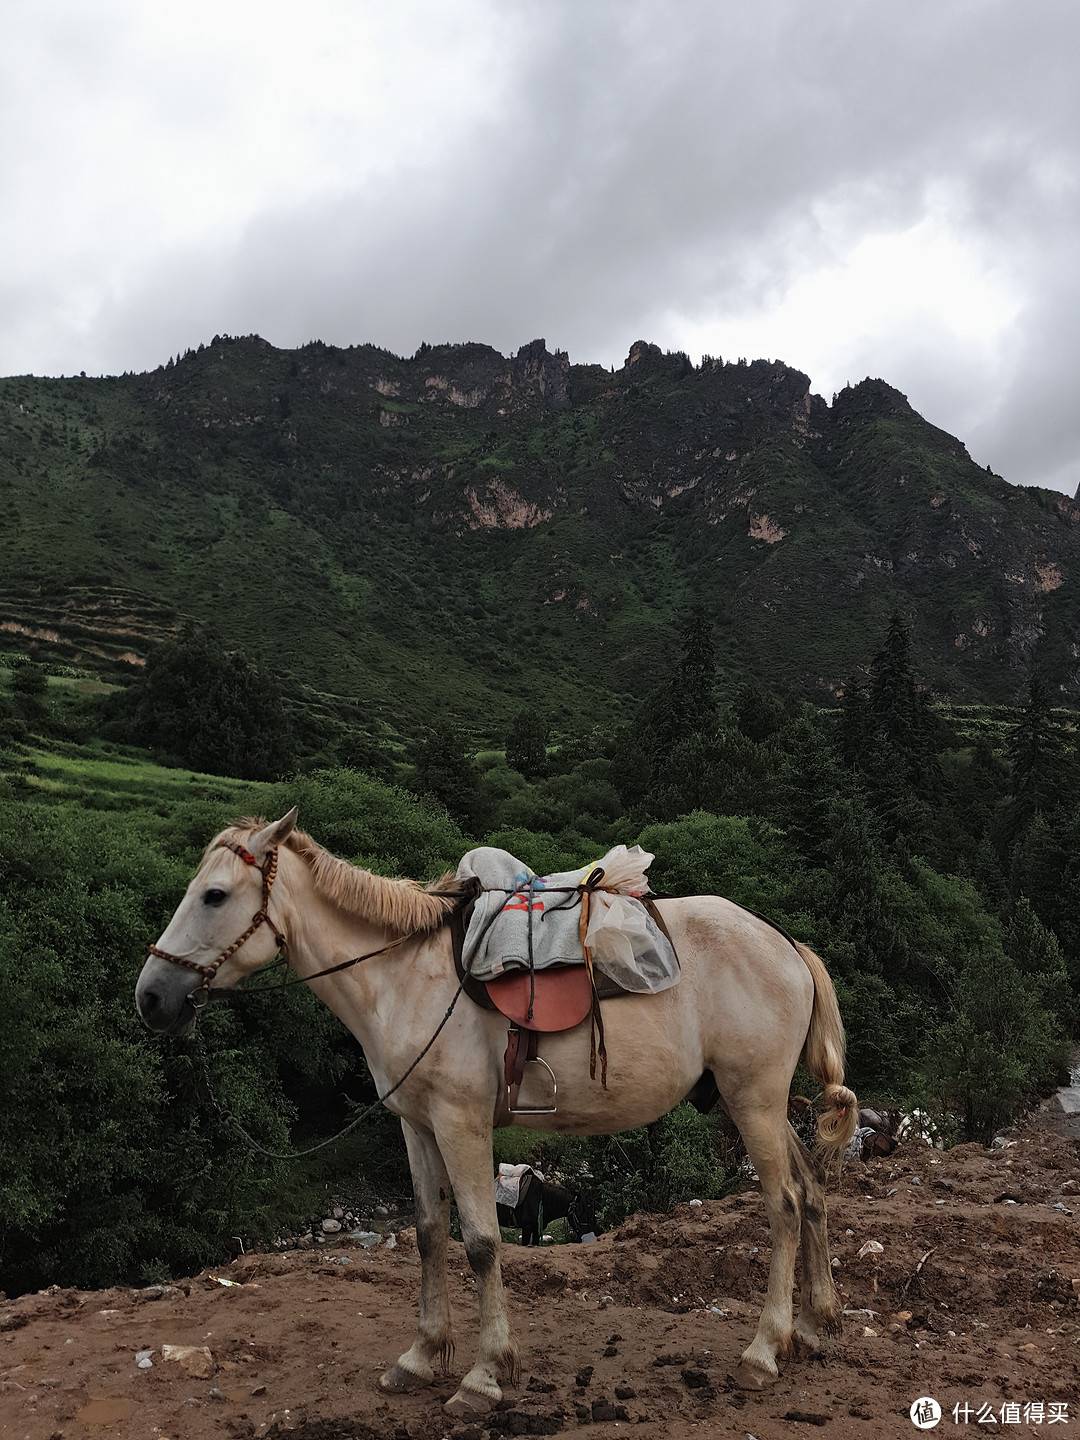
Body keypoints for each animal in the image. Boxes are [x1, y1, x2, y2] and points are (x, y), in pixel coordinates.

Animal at [135, 812, 858, 1416]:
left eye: (214, 896)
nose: (151, 998)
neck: (403, 978)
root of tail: (786, 944)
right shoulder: (417, 1125)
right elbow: (429, 1232)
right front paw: (420, 1357)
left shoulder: (462, 1123)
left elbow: (481, 1242)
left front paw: (484, 1377)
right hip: (762, 1105)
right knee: (811, 1192)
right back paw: (812, 1327)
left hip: (753, 1100)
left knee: (783, 1205)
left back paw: (764, 1350)